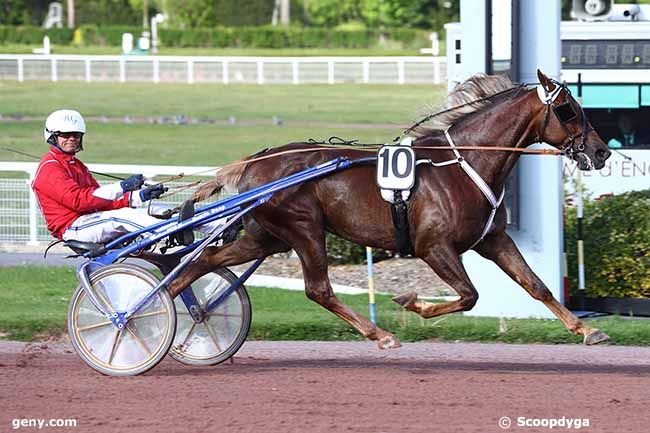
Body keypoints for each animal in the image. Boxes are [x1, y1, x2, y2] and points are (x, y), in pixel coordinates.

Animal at [168, 70, 612, 348]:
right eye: (569, 109)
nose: (601, 151)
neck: (463, 163)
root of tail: (253, 161)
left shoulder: (493, 239)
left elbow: (536, 284)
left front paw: (586, 330)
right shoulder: (434, 246)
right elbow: (469, 295)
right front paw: (412, 303)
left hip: (268, 236)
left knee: (205, 259)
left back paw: (165, 306)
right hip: (303, 228)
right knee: (318, 289)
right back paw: (380, 335)